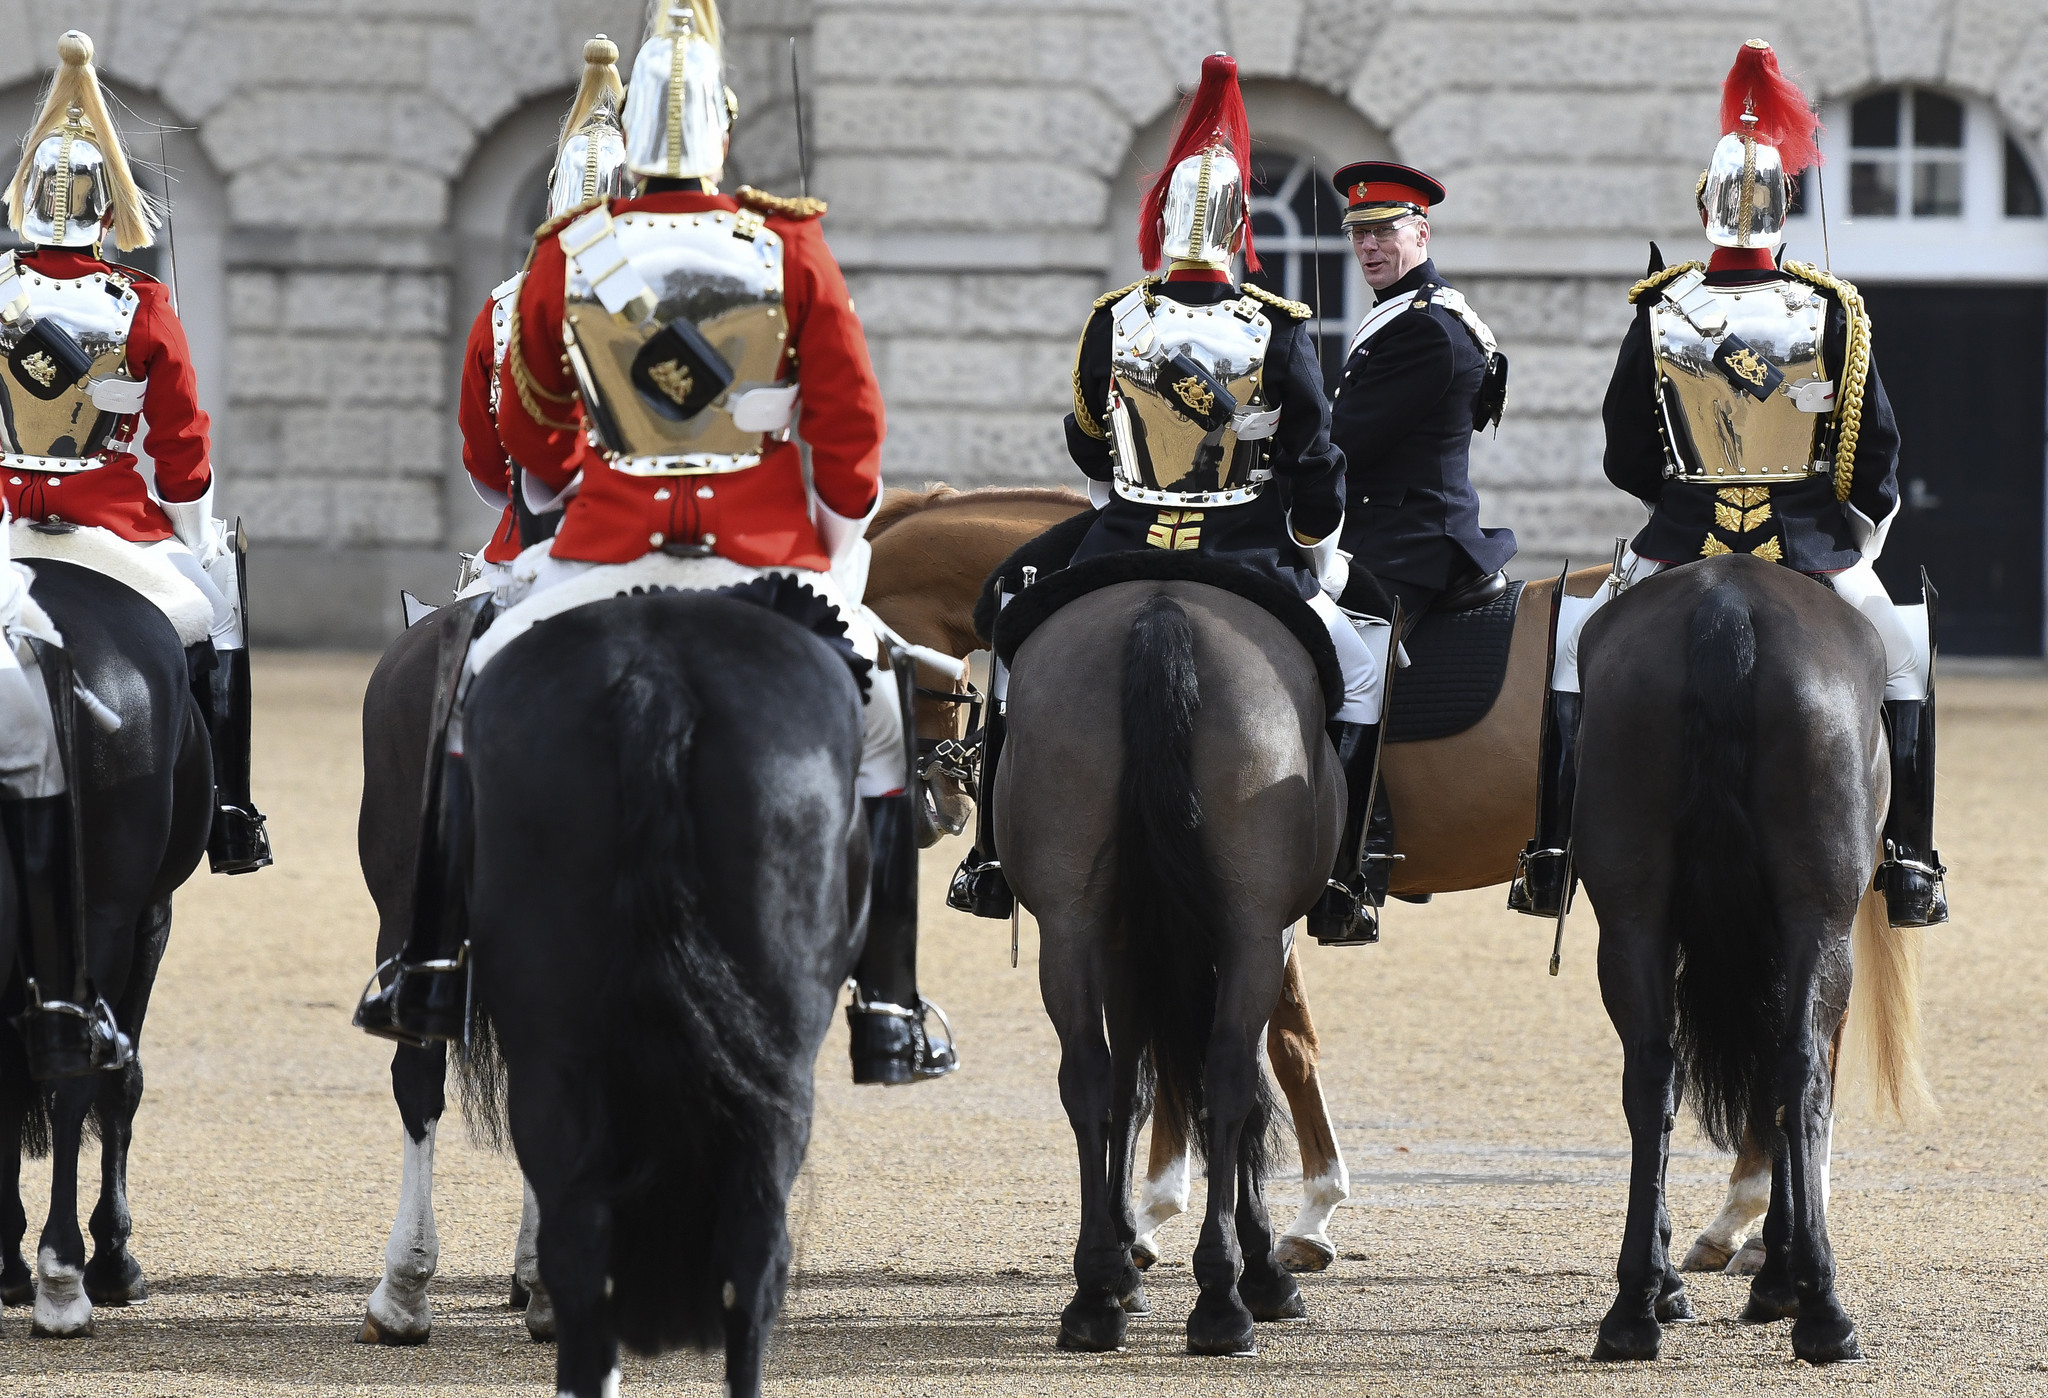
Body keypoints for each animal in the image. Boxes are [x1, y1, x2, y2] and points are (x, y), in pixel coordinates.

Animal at [0, 564, 211, 1342]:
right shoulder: (151, 915)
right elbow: (122, 1079)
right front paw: (113, 1256)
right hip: (109, 918)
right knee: (77, 1071)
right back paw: (65, 1278)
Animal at [864, 483, 1794, 1277]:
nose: (941, 800)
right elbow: (1267, 1039)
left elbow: (1260, 1042)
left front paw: (1213, 1211)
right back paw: (1745, 1224)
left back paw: (1744, 1220)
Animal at [995, 581, 1343, 1359]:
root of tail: (1161, 606)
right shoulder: (1265, 933)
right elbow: (1246, 1078)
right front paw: (1259, 1267)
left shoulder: (1127, 940)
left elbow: (1129, 1084)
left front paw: (1124, 1260)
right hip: (1249, 926)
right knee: (1229, 1076)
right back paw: (1224, 1300)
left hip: (1070, 922)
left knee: (1087, 1075)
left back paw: (1095, 1295)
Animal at [1572, 556, 1925, 1367]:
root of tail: (1726, 603)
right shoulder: (1809, 934)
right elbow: (1790, 1084)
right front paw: (1778, 1271)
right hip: (1820, 920)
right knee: (1801, 1071)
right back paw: (1821, 1311)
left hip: (1631, 917)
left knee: (1653, 1074)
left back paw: (1635, 1308)